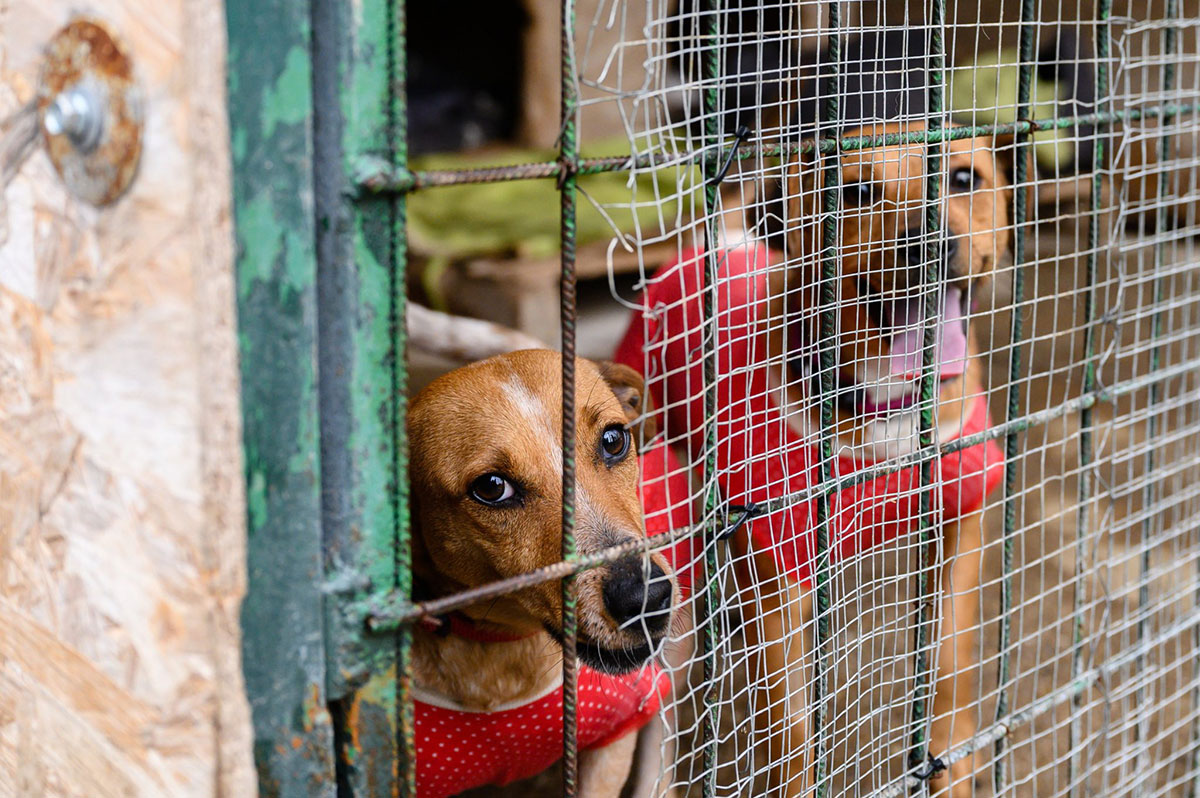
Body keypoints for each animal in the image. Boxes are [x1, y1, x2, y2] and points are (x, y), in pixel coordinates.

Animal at [748, 120, 1022, 796]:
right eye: (855, 191)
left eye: (964, 177)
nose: (929, 240)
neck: (887, 404)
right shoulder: (778, 569)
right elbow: (790, 724)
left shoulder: (962, 523)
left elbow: (949, 662)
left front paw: (951, 757)